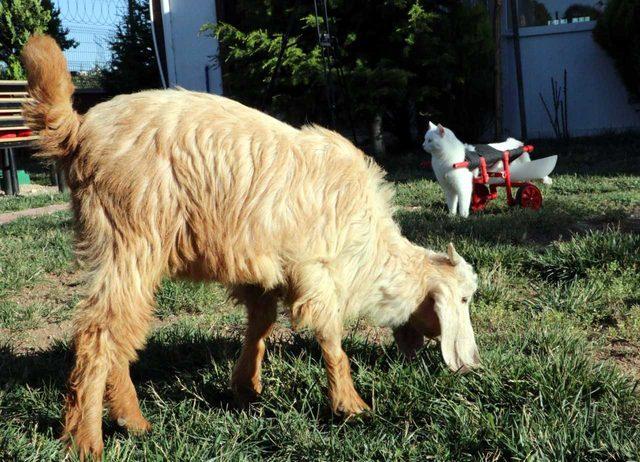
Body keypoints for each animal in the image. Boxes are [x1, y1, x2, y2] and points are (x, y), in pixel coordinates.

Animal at [21, 34, 480, 456]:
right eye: (462, 300)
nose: (472, 364)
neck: (368, 249)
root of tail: (79, 131)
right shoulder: (314, 269)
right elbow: (330, 338)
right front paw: (350, 406)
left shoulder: (262, 268)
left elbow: (260, 324)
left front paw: (246, 388)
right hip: (128, 238)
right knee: (97, 334)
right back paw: (86, 440)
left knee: (119, 333)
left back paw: (130, 421)